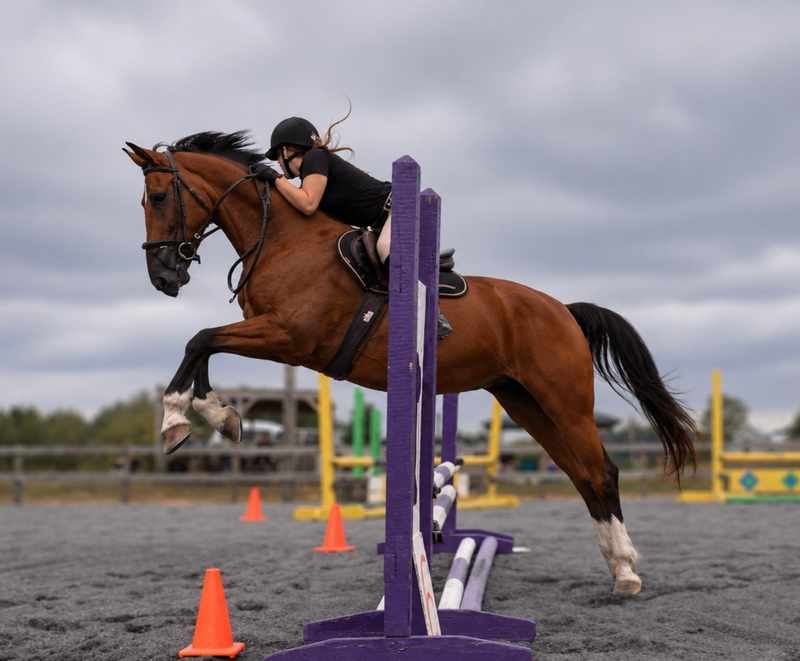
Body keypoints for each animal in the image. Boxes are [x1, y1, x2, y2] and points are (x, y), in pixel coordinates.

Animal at [123, 131, 696, 595]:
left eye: (159, 197)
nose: (163, 277)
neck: (282, 239)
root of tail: (565, 310)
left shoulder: (289, 337)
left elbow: (200, 341)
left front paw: (177, 419)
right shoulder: (271, 333)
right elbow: (204, 346)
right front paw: (217, 416)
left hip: (565, 400)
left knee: (601, 471)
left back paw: (628, 572)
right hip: (525, 401)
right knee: (581, 473)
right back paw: (618, 567)